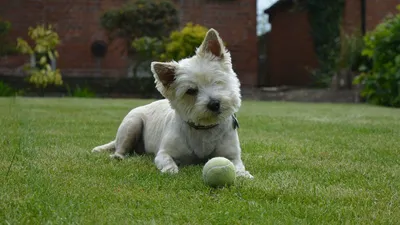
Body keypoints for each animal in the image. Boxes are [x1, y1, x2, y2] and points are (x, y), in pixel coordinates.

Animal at [93, 28, 253, 178]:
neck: (204, 129)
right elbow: (167, 161)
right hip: (132, 124)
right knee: (120, 148)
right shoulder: (163, 153)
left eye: (217, 81)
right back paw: (119, 156)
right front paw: (171, 170)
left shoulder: (232, 156)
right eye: (190, 91)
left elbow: (238, 165)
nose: (214, 104)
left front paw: (243, 175)